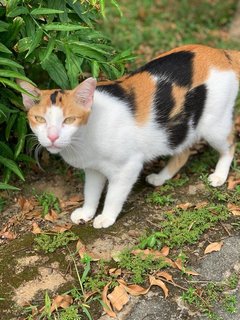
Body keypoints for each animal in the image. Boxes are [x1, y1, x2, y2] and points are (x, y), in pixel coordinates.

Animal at [19, 45, 239, 229]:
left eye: (69, 119)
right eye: (39, 119)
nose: (52, 136)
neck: (86, 137)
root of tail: (222, 53)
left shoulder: (128, 167)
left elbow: (114, 195)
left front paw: (106, 217)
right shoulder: (93, 169)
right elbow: (91, 192)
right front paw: (87, 213)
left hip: (214, 125)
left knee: (230, 144)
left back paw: (219, 176)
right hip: (180, 129)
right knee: (183, 152)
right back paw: (160, 177)